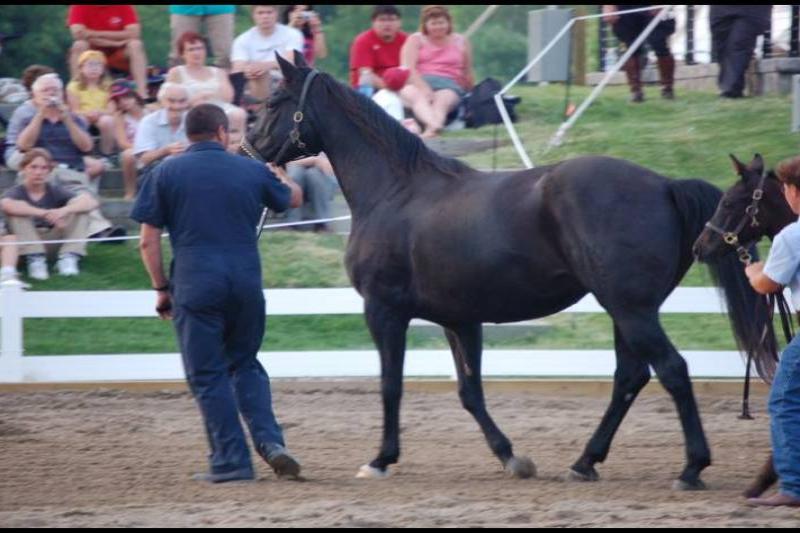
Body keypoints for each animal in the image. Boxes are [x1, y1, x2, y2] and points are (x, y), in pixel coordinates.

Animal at [244, 54, 776, 490]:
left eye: (273, 100)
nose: (248, 149)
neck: (397, 191)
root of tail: (665, 185)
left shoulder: (384, 311)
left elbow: (390, 386)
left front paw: (380, 460)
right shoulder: (460, 320)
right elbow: (470, 393)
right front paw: (512, 458)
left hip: (630, 309)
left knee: (672, 371)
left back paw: (691, 467)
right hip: (627, 311)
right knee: (630, 377)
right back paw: (585, 461)